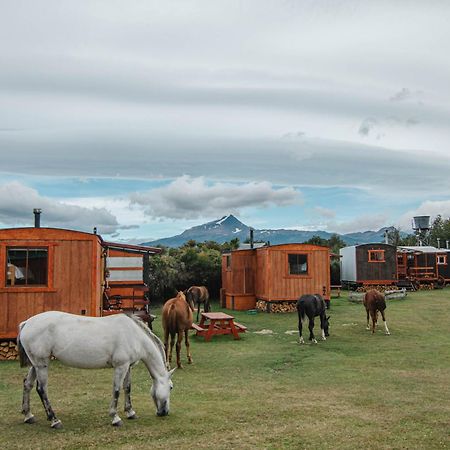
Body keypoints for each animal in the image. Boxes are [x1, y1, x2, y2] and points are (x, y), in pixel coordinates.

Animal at [16, 310, 174, 428]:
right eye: (171, 387)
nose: (165, 412)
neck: (134, 335)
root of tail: (26, 323)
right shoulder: (120, 367)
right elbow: (117, 390)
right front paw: (115, 418)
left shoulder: (128, 367)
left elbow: (127, 388)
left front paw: (130, 412)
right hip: (41, 364)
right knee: (41, 389)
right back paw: (54, 420)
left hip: (35, 365)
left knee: (27, 384)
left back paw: (28, 415)